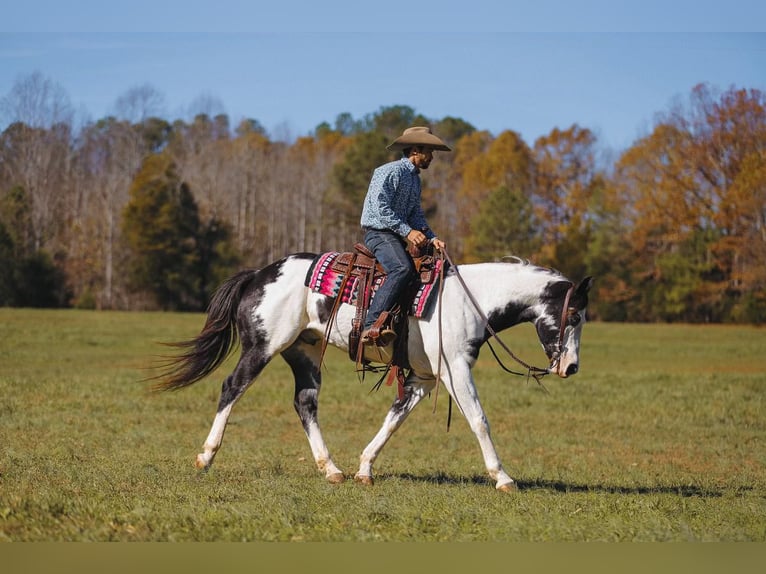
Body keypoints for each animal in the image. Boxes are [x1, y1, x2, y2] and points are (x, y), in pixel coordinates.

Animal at [158, 254, 592, 492]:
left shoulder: (422, 378)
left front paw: (364, 468)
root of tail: (260, 274)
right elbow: (479, 420)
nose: (571, 367)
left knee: (305, 404)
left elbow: (393, 420)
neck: (471, 300)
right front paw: (502, 478)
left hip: (305, 353)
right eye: (573, 315)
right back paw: (206, 456)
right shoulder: (454, 370)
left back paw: (331, 469)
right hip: (262, 347)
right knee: (232, 387)